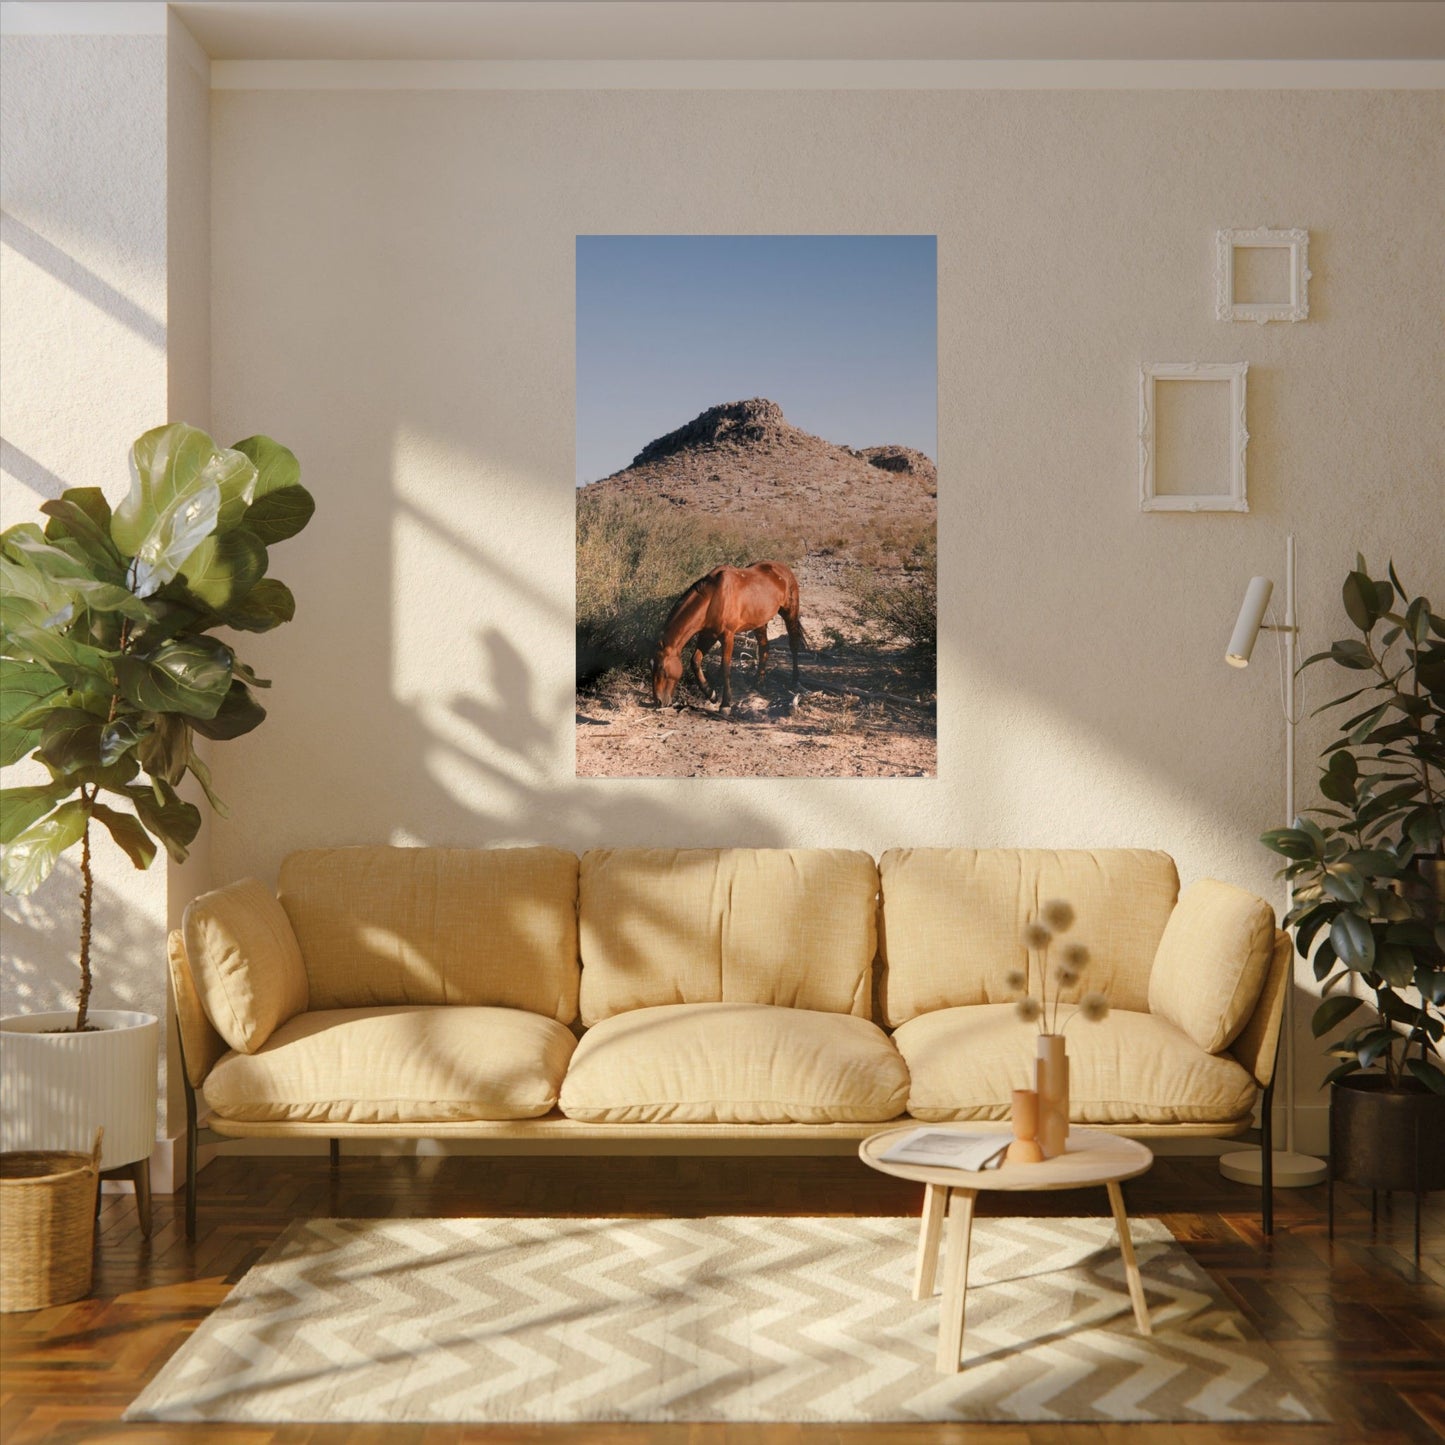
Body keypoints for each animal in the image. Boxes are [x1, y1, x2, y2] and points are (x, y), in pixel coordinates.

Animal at [650, 561, 804, 709]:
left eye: (662, 669)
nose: (658, 701)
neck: (713, 598)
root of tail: (783, 568)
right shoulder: (708, 635)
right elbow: (695, 661)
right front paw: (711, 694)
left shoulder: (727, 636)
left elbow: (725, 668)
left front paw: (725, 704)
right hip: (759, 622)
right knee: (764, 648)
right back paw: (759, 682)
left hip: (790, 612)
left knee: (794, 645)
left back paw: (795, 680)